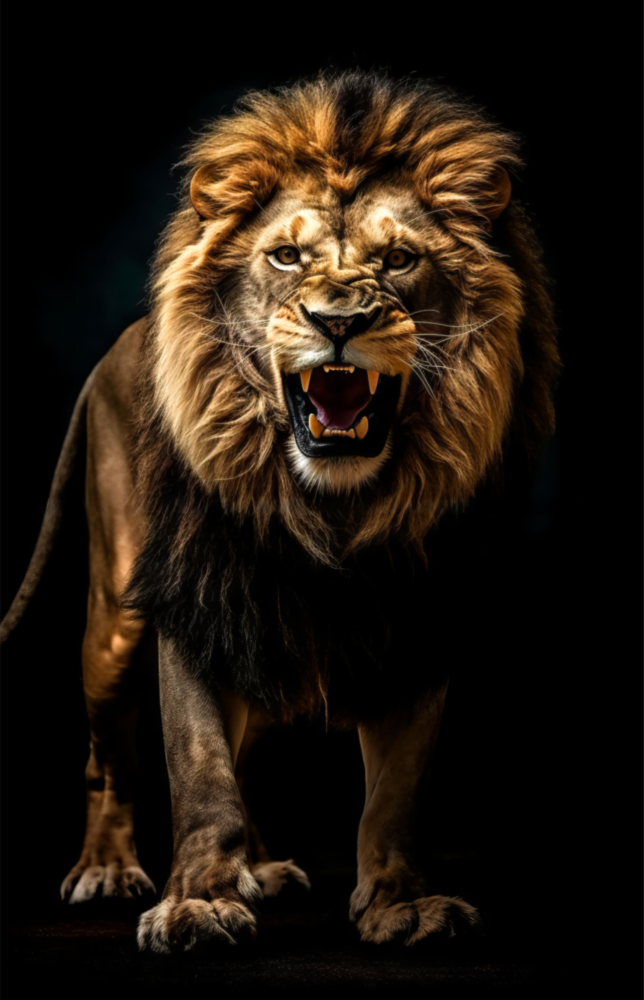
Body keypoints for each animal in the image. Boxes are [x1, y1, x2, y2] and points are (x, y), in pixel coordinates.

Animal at [1, 70, 559, 953]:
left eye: (400, 260)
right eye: (286, 255)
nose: (340, 322)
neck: (330, 508)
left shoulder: (420, 613)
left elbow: (396, 788)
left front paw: (402, 906)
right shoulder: (193, 596)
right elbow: (199, 765)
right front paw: (195, 904)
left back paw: (258, 869)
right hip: (115, 619)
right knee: (107, 757)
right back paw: (109, 869)